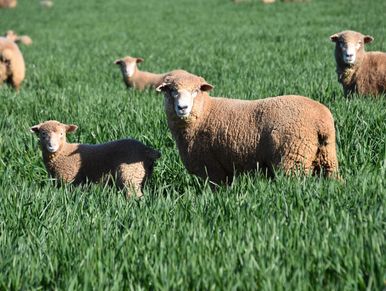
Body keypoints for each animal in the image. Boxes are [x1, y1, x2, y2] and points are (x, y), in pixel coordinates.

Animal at [29, 120, 160, 197]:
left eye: (62, 134)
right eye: (43, 134)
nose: (52, 146)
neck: (64, 152)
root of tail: (146, 149)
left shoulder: (69, 180)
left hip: (131, 173)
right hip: (142, 174)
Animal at [156, 69, 338, 186]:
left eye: (195, 91)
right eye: (171, 91)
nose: (182, 107)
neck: (205, 112)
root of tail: (320, 119)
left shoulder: (213, 168)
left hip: (293, 159)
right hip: (327, 156)